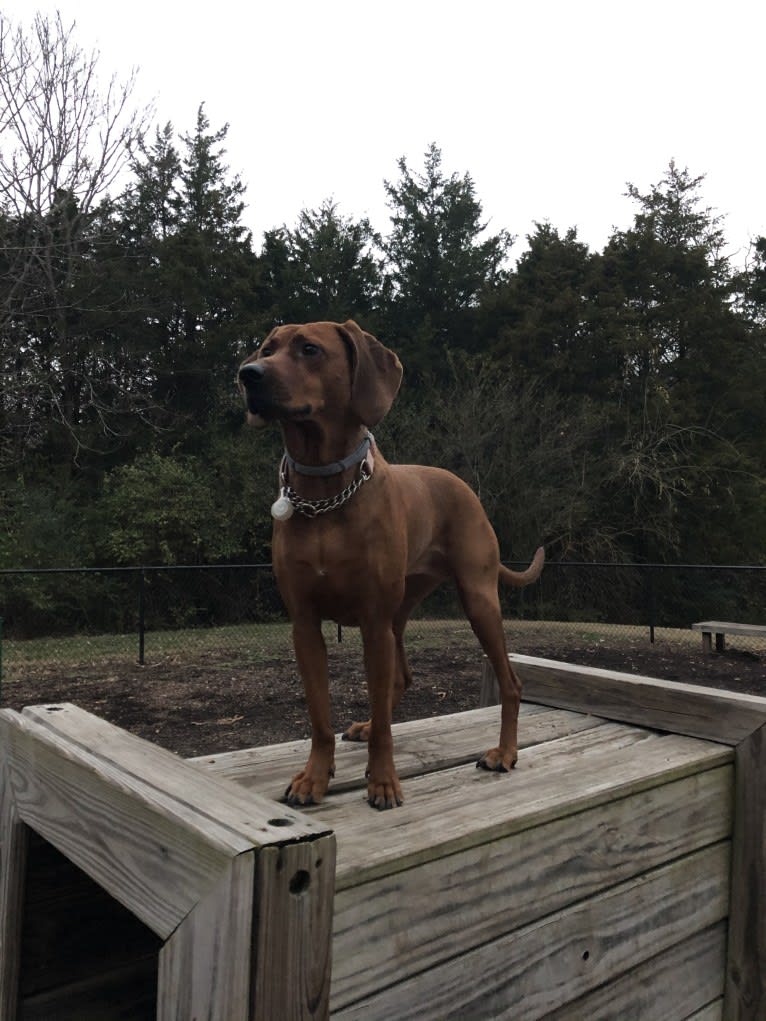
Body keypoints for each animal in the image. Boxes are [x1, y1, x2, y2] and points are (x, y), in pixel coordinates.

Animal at [240, 322, 547, 808]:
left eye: (309, 349)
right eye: (267, 349)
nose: (247, 374)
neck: (325, 489)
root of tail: (465, 486)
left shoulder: (372, 620)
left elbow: (384, 721)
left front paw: (383, 781)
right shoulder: (305, 624)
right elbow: (320, 717)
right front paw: (314, 776)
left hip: (476, 601)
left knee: (510, 683)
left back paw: (504, 752)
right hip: (400, 613)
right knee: (400, 678)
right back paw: (367, 727)